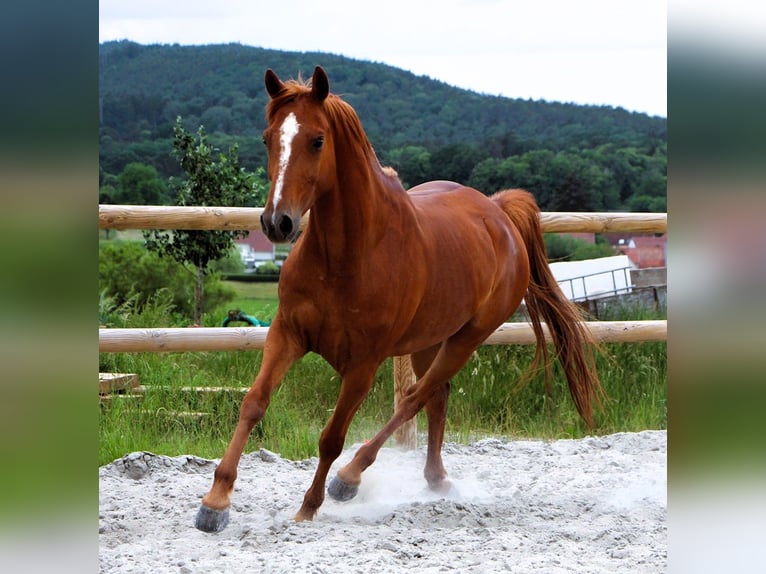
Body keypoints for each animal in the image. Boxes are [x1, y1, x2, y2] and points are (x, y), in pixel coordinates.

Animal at [195, 66, 603, 532]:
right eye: (267, 138)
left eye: (317, 140)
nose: (277, 222)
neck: (347, 256)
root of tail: (498, 212)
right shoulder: (287, 334)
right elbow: (253, 404)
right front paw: (215, 502)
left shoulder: (363, 365)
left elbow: (332, 437)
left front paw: (308, 507)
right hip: (430, 339)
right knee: (436, 397)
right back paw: (435, 479)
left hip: (466, 339)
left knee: (414, 399)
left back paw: (349, 479)